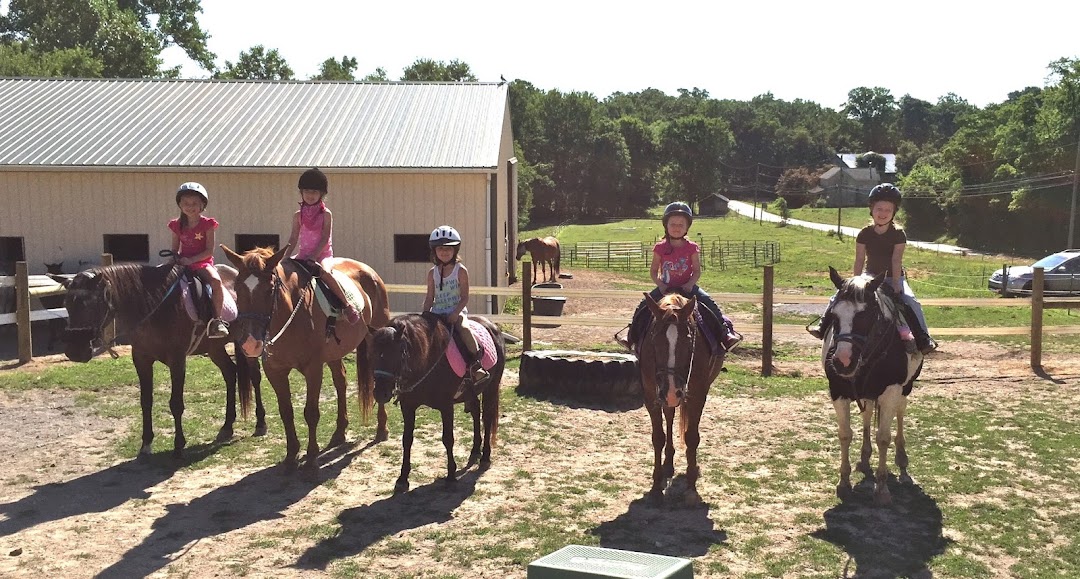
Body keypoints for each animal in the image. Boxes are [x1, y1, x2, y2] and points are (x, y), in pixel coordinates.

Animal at [51, 261, 266, 455]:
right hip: (214, 348)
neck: (153, 306)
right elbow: (145, 401)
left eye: (92, 305)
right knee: (230, 373)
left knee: (255, 376)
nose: (75, 351)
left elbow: (176, 403)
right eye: (66, 304)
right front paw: (146, 443)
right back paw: (227, 426)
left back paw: (260, 423)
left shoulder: (177, 359)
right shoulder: (141, 358)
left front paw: (179, 444)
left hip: (248, 343)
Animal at [221, 245, 390, 475]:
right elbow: (286, 412)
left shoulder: (313, 369)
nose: (250, 344)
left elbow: (311, 413)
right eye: (237, 288)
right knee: (341, 382)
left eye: (269, 290)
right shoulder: (274, 371)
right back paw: (339, 432)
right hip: (334, 353)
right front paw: (291, 457)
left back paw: (382, 429)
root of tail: (370, 272)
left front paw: (311, 460)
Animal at [371, 311, 505, 492]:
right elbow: (407, 440)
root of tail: (493, 327)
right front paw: (402, 479)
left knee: (487, 418)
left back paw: (485, 457)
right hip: (471, 392)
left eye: (397, 354)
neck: (427, 357)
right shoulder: (408, 406)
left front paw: (451, 476)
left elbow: (448, 439)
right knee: (476, 412)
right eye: (372, 353)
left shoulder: (446, 406)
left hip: (491, 387)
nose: (380, 394)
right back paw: (475, 450)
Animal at [635, 293, 730, 501]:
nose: (672, 391)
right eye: (654, 340)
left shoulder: (698, 395)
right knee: (669, 417)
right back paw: (668, 463)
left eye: (688, 342)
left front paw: (691, 488)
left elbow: (692, 437)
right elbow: (658, 437)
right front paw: (656, 486)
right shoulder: (651, 396)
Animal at [820, 264, 924, 503]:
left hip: (905, 388)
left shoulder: (891, 391)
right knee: (867, 414)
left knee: (900, 412)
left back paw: (902, 460)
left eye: (866, 315)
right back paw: (865, 457)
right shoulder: (838, 392)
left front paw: (882, 488)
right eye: (834, 315)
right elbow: (845, 434)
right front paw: (844, 482)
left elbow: (883, 438)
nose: (843, 362)